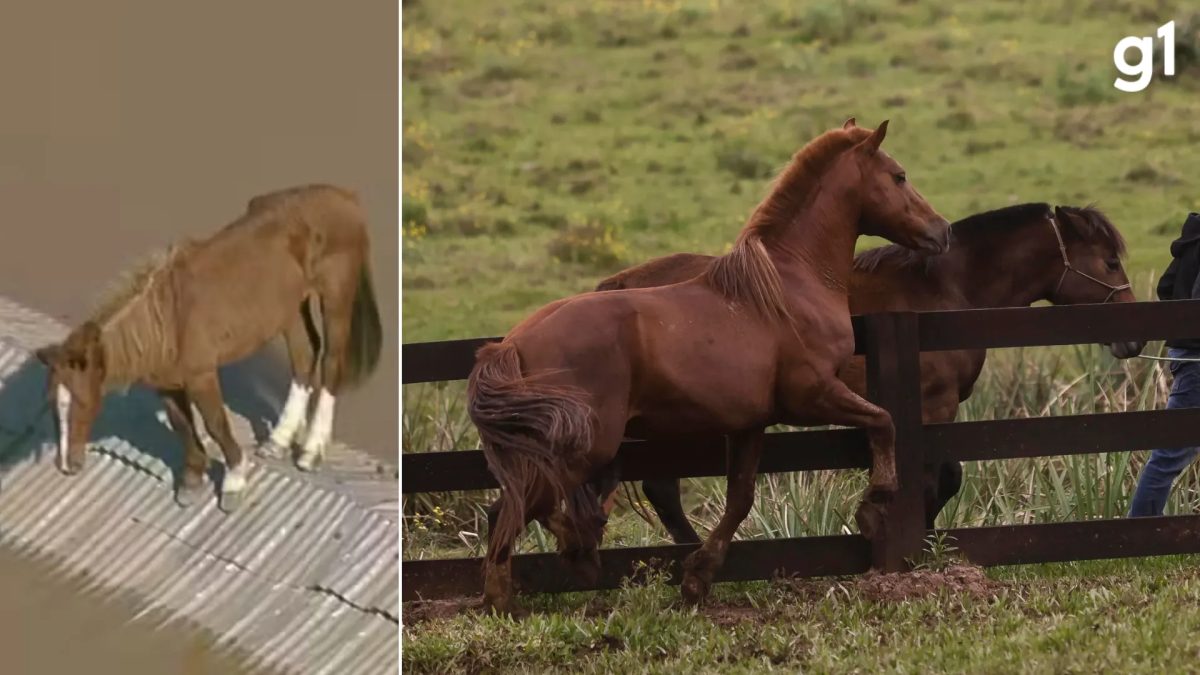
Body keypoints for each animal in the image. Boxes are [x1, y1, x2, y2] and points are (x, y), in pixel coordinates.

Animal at [35, 184, 383, 512]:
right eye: (52, 403)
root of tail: (345, 197)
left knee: (331, 363)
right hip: (290, 308)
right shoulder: (167, 384)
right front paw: (191, 481)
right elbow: (182, 426)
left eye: (81, 402)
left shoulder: (202, 376)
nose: (66, 465)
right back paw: (278, 441)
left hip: (335, 298)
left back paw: (310, 452)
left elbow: (216, 424)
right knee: (304, 356)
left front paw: (234, 482)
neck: (167, 322)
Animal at [467, 119, 951, 614]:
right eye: (899, 176)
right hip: (587, 446)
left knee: (509, 507)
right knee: (519, 508)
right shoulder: (812, 396)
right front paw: (876, 502)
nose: (942, 231)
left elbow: (740, 500)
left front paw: (698, 578)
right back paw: (537, 580)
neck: (789, 286)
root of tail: (512, 344)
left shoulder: (750, 424)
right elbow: (884, 420)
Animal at [592, 202, 1142, 544]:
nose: (1133, 338)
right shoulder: (934, 404)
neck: (943, 291)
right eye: (1110, 263)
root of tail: (619, 286)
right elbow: (941, 476)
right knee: (662, 487)